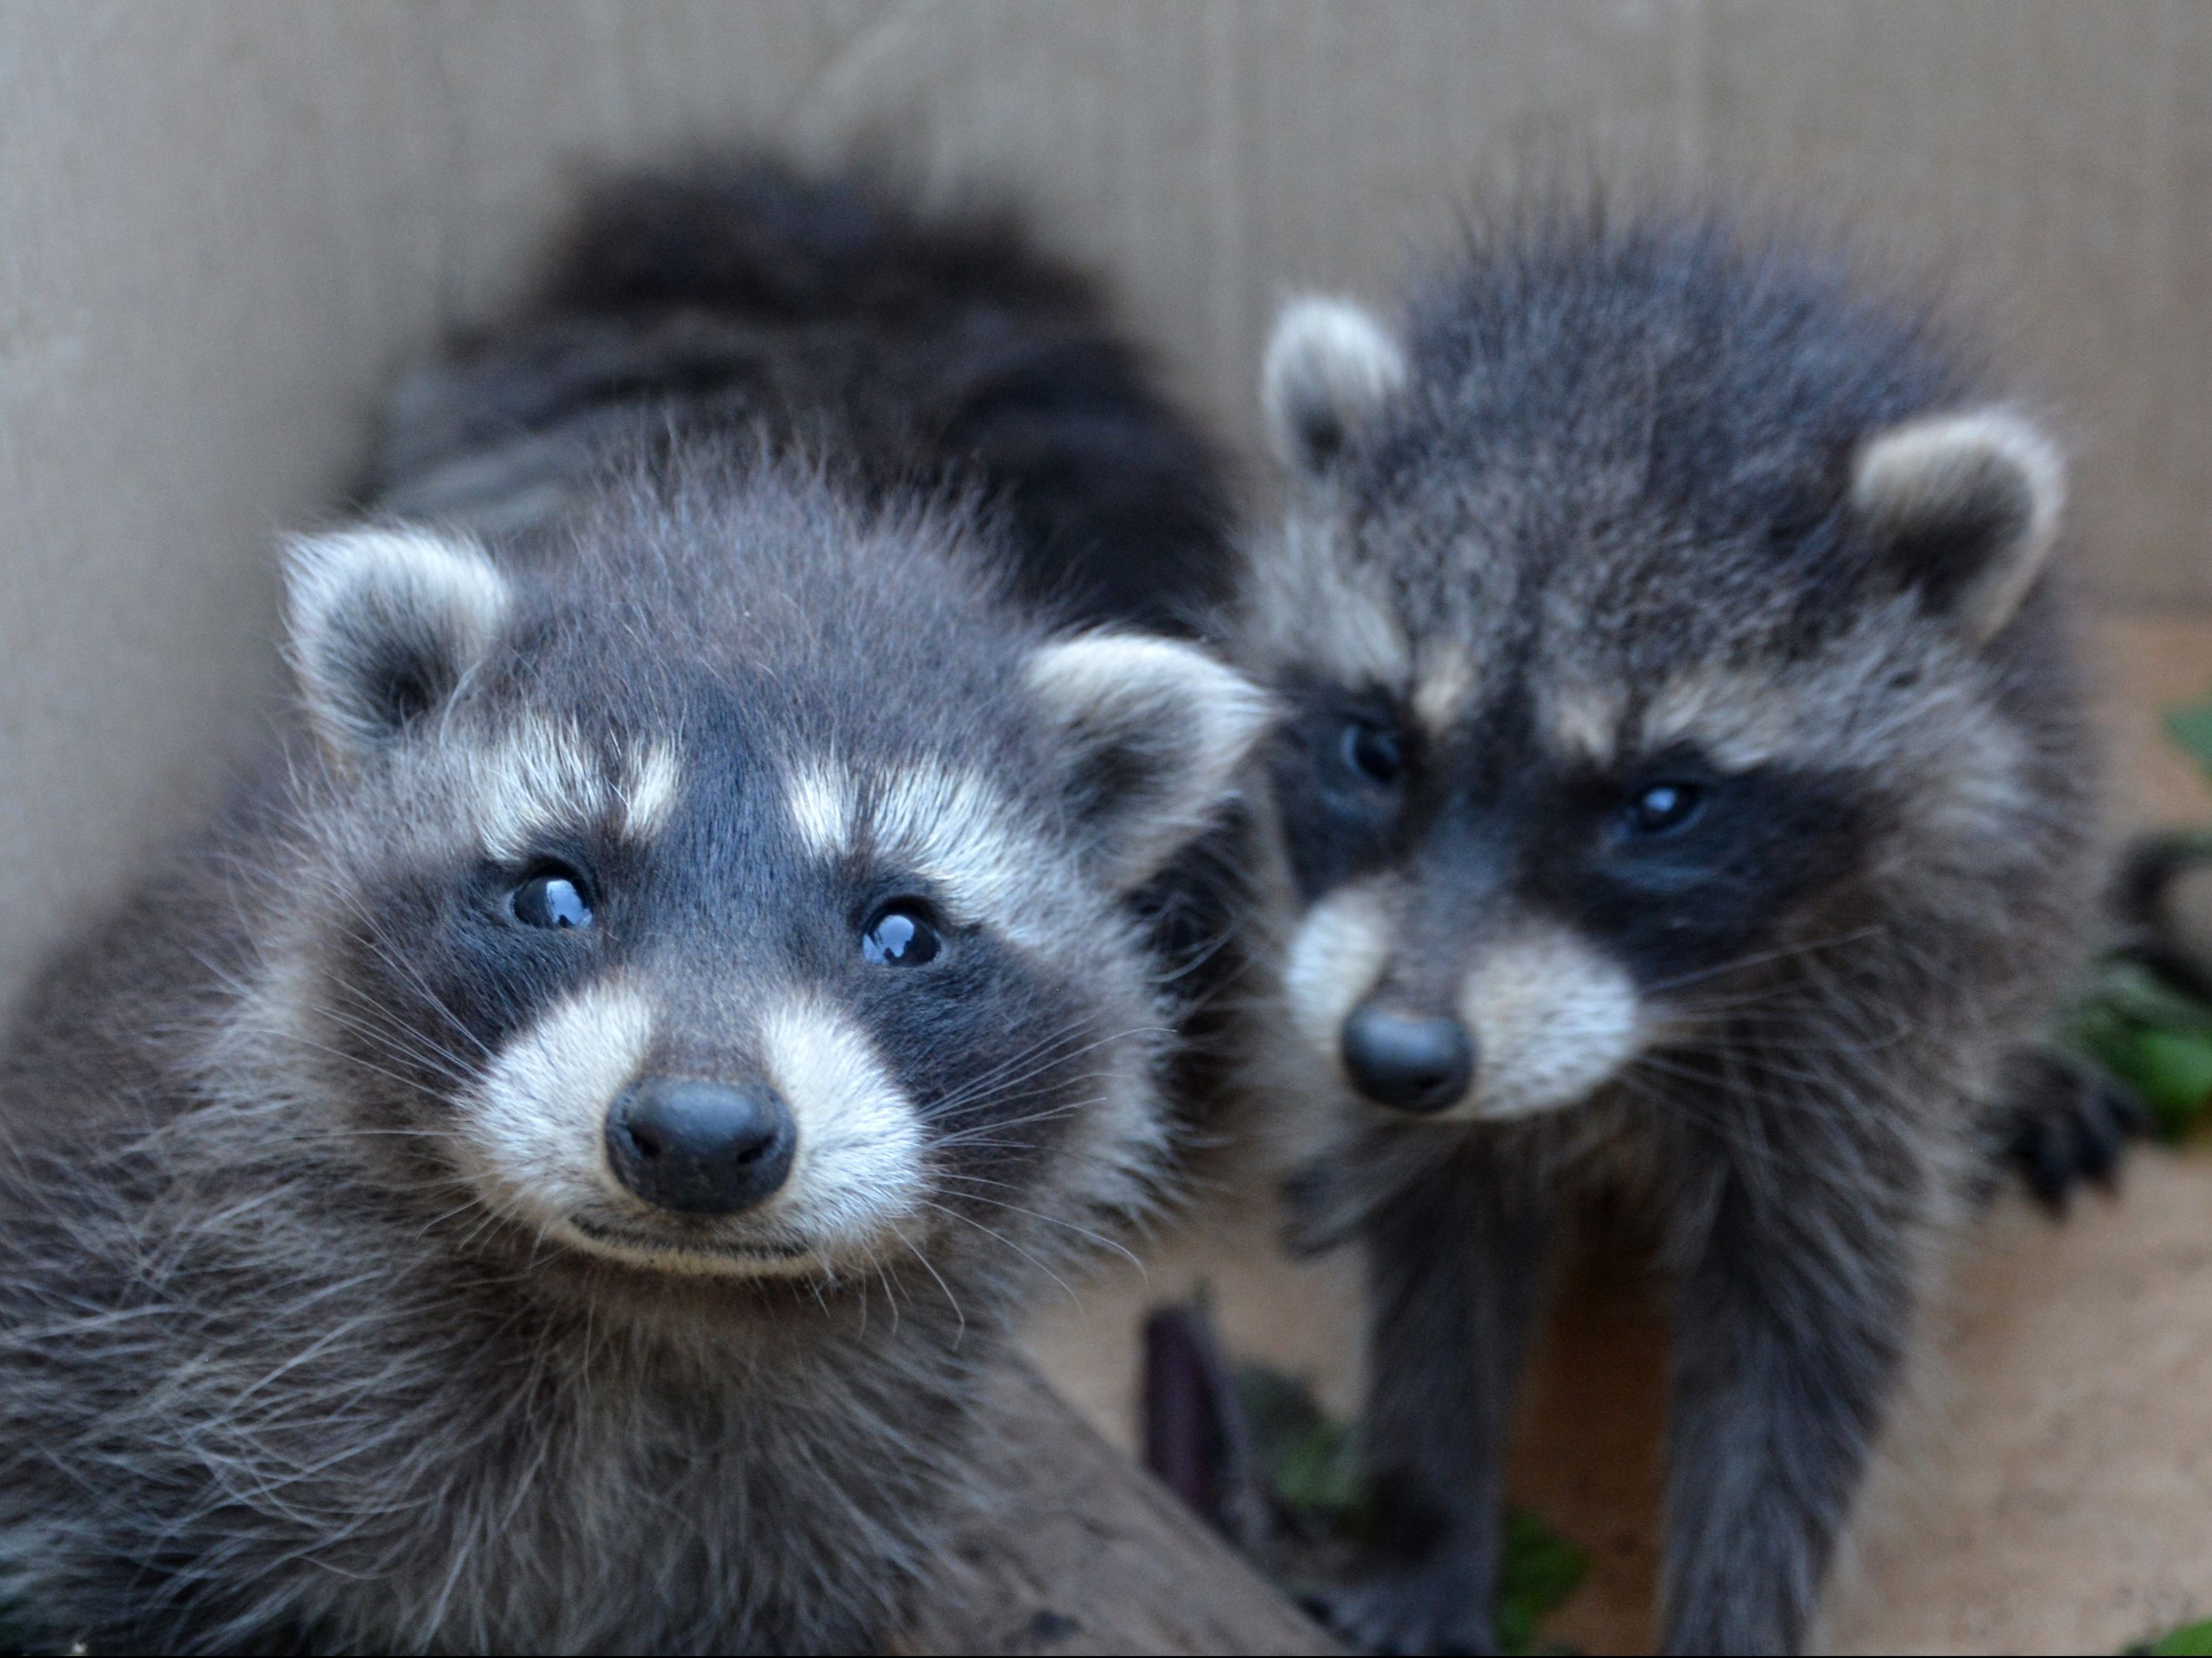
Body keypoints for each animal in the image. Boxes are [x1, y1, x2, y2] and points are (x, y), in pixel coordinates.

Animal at [1239, 213, 2115, 1646]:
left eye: (1660, 804)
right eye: (1375, 745)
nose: (1393, 1056)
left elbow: (1805, 1356)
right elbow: (1433, 1265)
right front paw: (1426, 1516)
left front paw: (1736, 1611)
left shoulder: (1866, 1055)